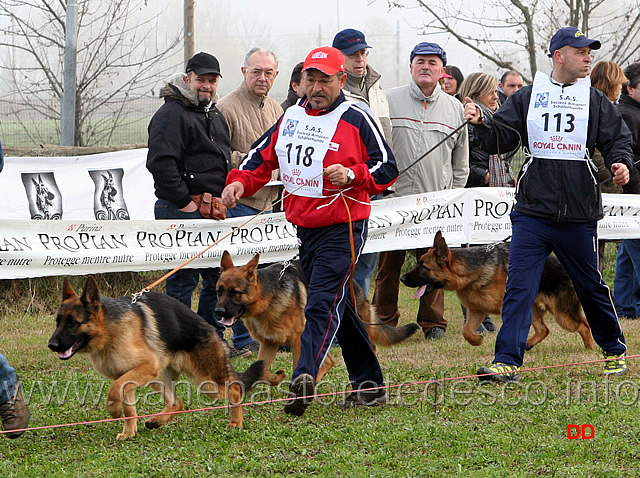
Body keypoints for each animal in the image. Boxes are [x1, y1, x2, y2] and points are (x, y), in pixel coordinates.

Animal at [48, 276, 270, 440]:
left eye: (72, 323)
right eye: (58, 321)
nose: (51, 345)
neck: (110, 329)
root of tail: (212, 330)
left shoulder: (144, 367)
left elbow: (114, 390)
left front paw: (113, 410)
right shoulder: (127, 377)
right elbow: (128, 404)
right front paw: (129, 431)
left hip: (206, 381)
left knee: (234, 389)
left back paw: (236, 422)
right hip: (159, 379)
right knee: (177, 404)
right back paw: (156, 421)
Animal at [216, 250, 420, 384]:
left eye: (235, 292)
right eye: (219, 291)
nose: (217, 313)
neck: (267, 296)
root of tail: (354, 283)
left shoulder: (298, 340)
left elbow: (296, 366)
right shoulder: (269, 342)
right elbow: (262, 371)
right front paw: (277, 377)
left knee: (366, 349)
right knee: (330, 360)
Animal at [400, 230, 596, 350]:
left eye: (423, 267)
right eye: (419, 264)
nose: (402, 279)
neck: (471, 271)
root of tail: (566, 269)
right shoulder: (476, 310)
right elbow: (466, 331)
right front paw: (477, 340)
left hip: (563, 315)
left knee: (584, 326)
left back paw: (590, 349)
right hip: (532, 310)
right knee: (544, 330)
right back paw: (528, 344)